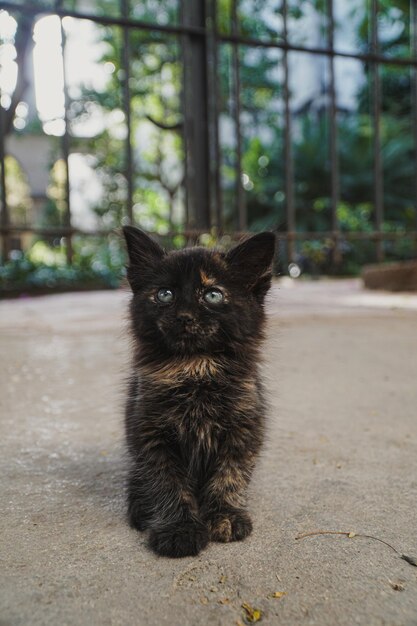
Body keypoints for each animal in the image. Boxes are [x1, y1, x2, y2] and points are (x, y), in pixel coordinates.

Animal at [122, 227, 274, 560]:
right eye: (164, 294)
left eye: (213, 295)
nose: (184, 316)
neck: (196, 370)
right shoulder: (151, 434)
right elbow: (167, 483)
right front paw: (179, 529)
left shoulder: (244, 427)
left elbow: (230, 474)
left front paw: (225, 515)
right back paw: (140, 507)